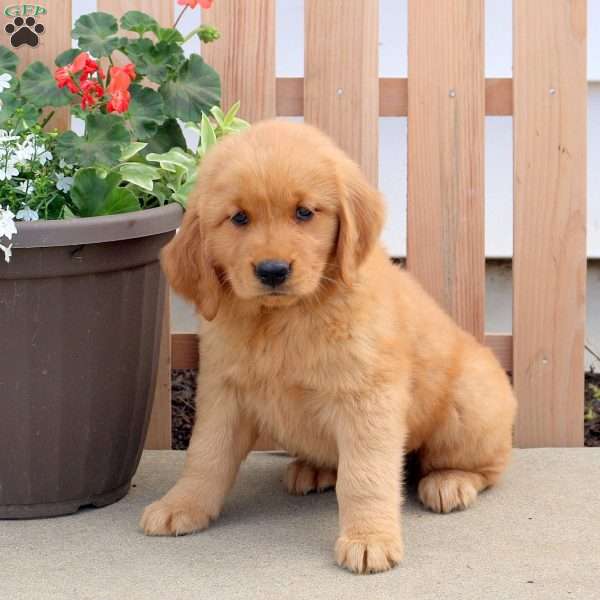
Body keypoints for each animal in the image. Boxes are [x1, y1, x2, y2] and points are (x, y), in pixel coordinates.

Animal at [141, 119, 516, 576]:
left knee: (490, 464)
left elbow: (364, 477)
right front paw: (181, 504)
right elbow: (206, 456)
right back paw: (313, 469)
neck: (282, 320)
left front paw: (369, 539)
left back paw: (452, 481)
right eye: (239, 218)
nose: (272, 271)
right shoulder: (223, 391)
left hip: (469, 403)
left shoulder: (367, 397)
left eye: (305, 212)